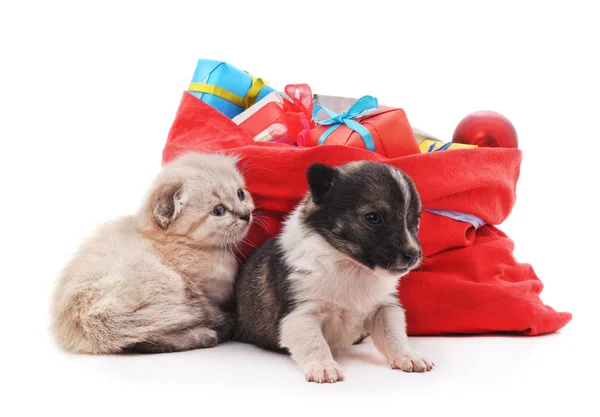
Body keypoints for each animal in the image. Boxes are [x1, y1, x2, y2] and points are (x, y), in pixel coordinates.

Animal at [52, 151, 255, 352]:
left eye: (240, 194)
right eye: (218, 210)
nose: (246, 215)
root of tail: (83, 319)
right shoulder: (201, 290)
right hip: (164, 285)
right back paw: (205, 336)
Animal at [232, 161, 434, 382]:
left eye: (416, 221)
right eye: (373, 218)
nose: (413, 255)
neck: (351, 266)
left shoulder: (385, 308)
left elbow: (394, 336)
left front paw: (408, 356)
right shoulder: (301, 314)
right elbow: (314, 343)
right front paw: (323, 366)